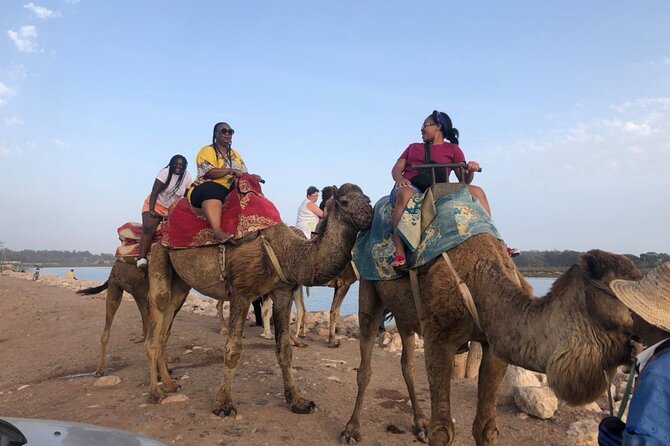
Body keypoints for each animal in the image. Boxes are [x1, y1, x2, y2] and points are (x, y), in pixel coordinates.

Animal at [145, 183, 373, 417]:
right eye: (344, 201)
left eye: (368, 199)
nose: (369, 215)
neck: (287, 251)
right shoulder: (241, 292)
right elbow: (233, 349)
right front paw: (223, 404)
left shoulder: (282, 293)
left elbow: (285, 350)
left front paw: (297, 401)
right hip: (159, 254)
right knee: (158, 313)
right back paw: (156, 391)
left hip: (181, 283)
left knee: (166, 324)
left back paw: (169, 383)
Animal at [340, 236, 642, 446]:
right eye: (627, 287)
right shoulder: (439, 337)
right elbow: (443, 430)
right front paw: (433, 428)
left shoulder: (495, 346)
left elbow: (485, 428)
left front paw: (431, 426)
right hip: (368, 290)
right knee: (365, 360)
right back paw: (351, 429)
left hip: (406, 316)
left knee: (407, 364)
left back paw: (419, 423)